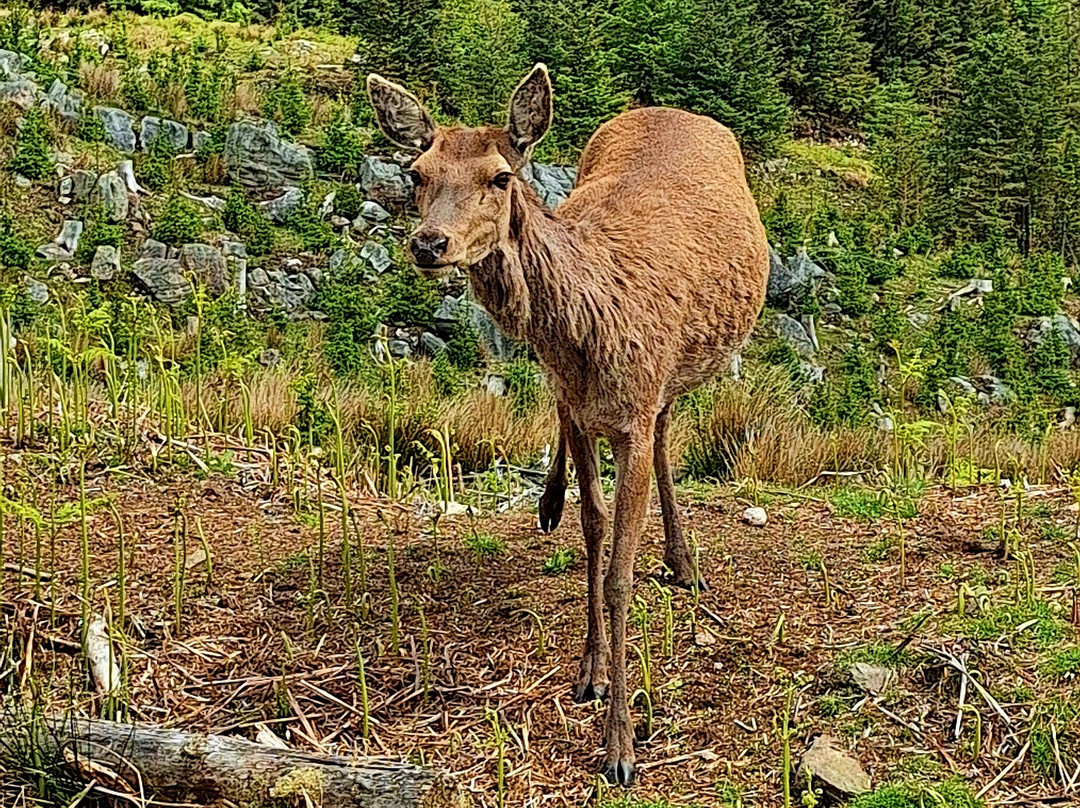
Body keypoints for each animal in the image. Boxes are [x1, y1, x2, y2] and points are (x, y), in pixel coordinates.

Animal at [367, 64, 769, 785]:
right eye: (416, 172)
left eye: (501, 175)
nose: (430, 244)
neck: (591, 325)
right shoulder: (584, 415)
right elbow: (593, 530)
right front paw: (589, 674)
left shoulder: (634, 409)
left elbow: (619, 573)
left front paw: (620, 746)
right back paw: (551, 499)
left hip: (680, 367)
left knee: (669, 430)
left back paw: (683, 559)